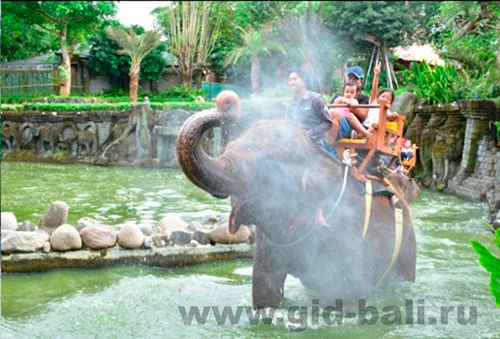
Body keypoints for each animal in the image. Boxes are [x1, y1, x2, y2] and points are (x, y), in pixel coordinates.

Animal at [176, 91, 418, 310]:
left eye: (271, 162)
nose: (226, 101)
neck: (317, 155)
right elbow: (264, 290)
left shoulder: (349, 230)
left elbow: (349, 295)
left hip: (407, 243)